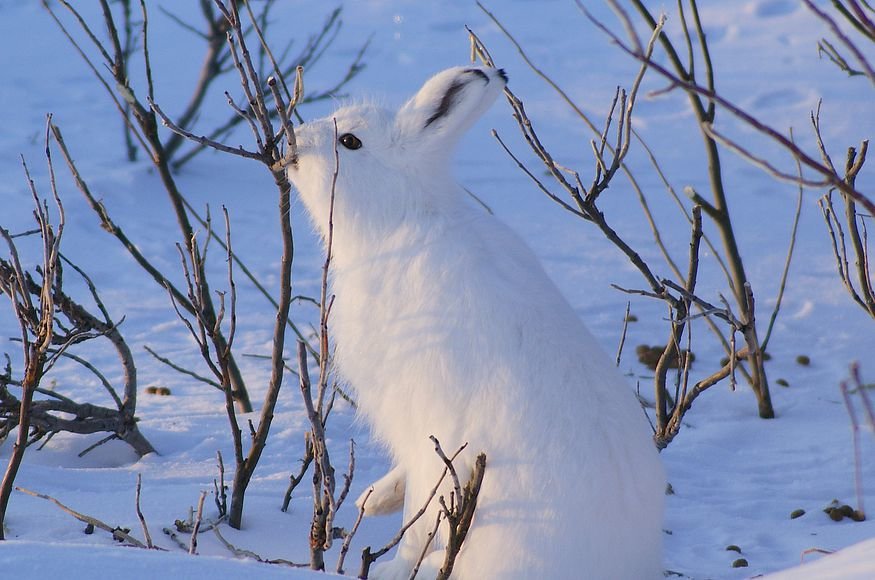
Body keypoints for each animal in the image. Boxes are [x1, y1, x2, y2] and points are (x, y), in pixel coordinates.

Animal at [287, 66, 665, 580]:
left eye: (349, 141)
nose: (293, 144)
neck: (402, 219)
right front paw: (374, 498)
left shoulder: (427, 419)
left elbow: (423, 512)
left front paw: (393, 568)